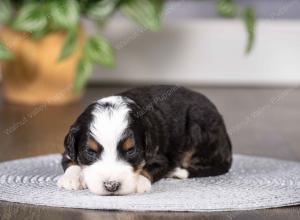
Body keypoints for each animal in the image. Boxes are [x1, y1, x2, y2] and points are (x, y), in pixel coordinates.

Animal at [56, 85, 232, 195]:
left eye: (131, 151)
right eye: (90, 152)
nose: (111, 186)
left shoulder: (160, 157)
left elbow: (149, 169)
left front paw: (139, 183)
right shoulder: (68, 150)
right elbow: (71, 162)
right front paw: (70, 180)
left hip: (199, 126)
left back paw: (177, 172)